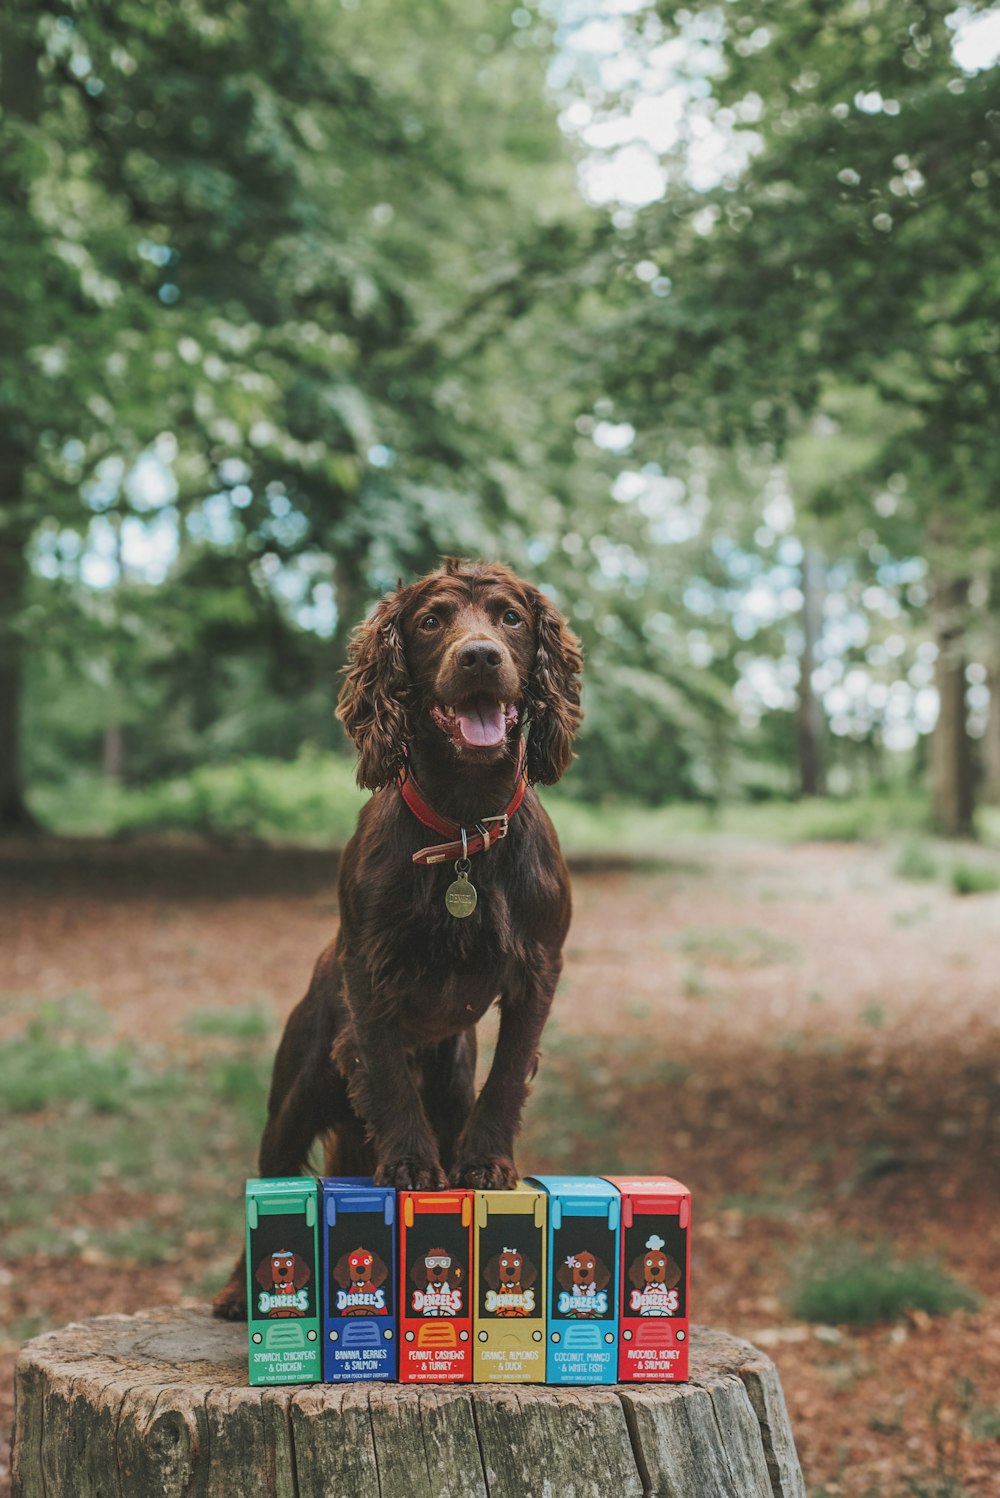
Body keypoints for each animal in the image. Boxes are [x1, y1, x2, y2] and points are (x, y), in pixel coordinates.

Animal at [215, 557, 580, 1318]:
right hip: (294, 1098)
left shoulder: (539, 967)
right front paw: (411, 1165)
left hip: (449, 1078)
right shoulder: (369, 967)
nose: (480, 657)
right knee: (268, 1182)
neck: (463, 825)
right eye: (432, 621)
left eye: (510, 618)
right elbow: (383, 1067)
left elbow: (509, 1072)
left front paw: (484, 1163)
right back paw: (237, 1289)